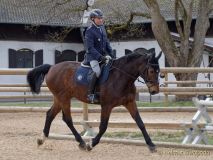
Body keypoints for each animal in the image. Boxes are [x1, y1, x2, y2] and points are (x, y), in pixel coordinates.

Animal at [27, 47, 161, 152]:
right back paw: (81, 142)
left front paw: (151, 145)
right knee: (67, 119)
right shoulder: (106, 106)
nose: (155, 91)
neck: (121, 77)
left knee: (50, 114)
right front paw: (91, 144)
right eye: (151, 70)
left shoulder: (130, 102)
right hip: (63, 98)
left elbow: (140, 123)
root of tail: (52, 67)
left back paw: (41, 139)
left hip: (60, 98)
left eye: (159, 71)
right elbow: (103, 127)